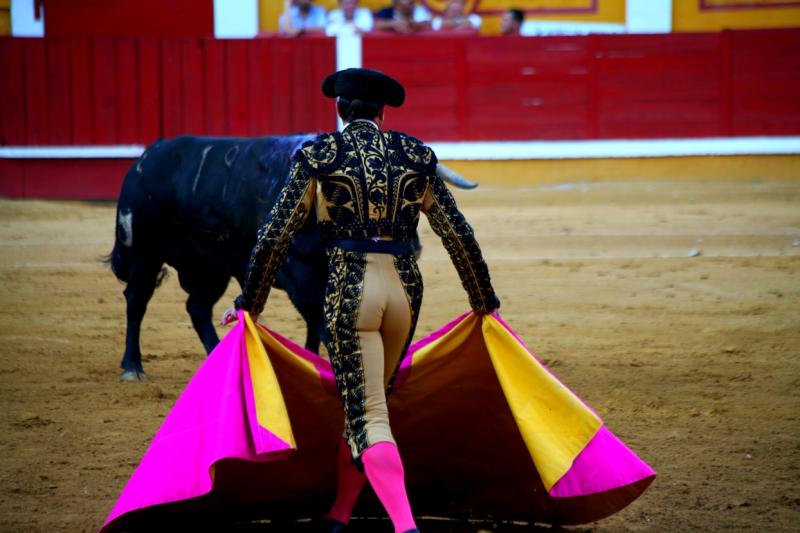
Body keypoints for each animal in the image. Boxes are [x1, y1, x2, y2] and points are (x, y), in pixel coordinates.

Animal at [111, 135, 476, 380]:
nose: (412, 245)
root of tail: (145, 159)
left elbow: (318, 323)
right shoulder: (300, 275)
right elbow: (319, 320)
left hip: (209, 266)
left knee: (197, 306)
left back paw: (214, 354)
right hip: (145, 253)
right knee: (137, 300)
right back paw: (132, 366)